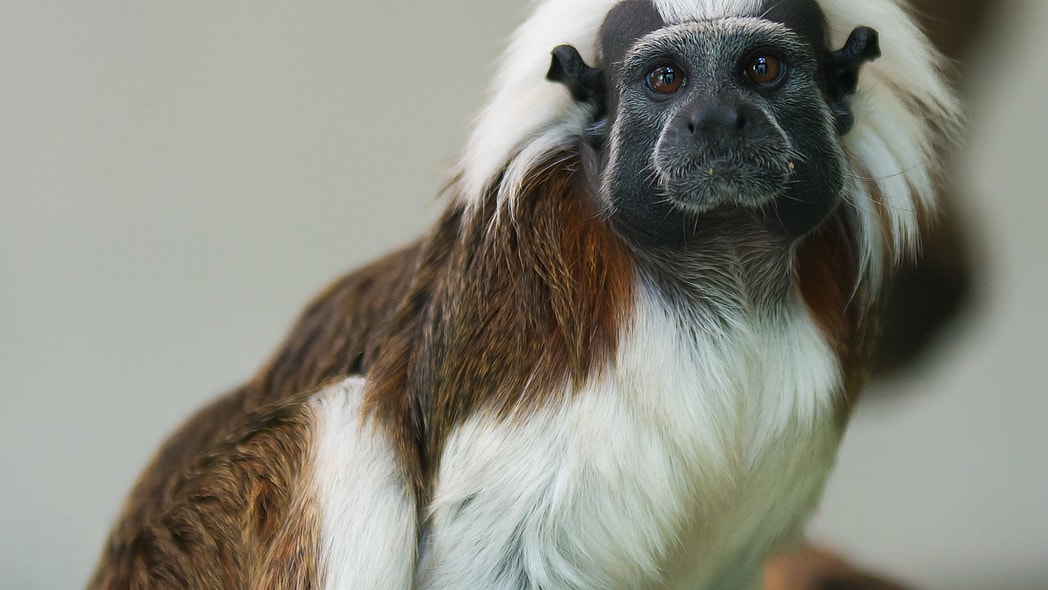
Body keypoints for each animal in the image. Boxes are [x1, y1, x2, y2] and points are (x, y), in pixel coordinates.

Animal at [89, 0, 958, 588]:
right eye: (666, 78)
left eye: (761, 69)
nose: (716, 119)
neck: (720, 282)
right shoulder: (527, 336)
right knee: (323, 431)